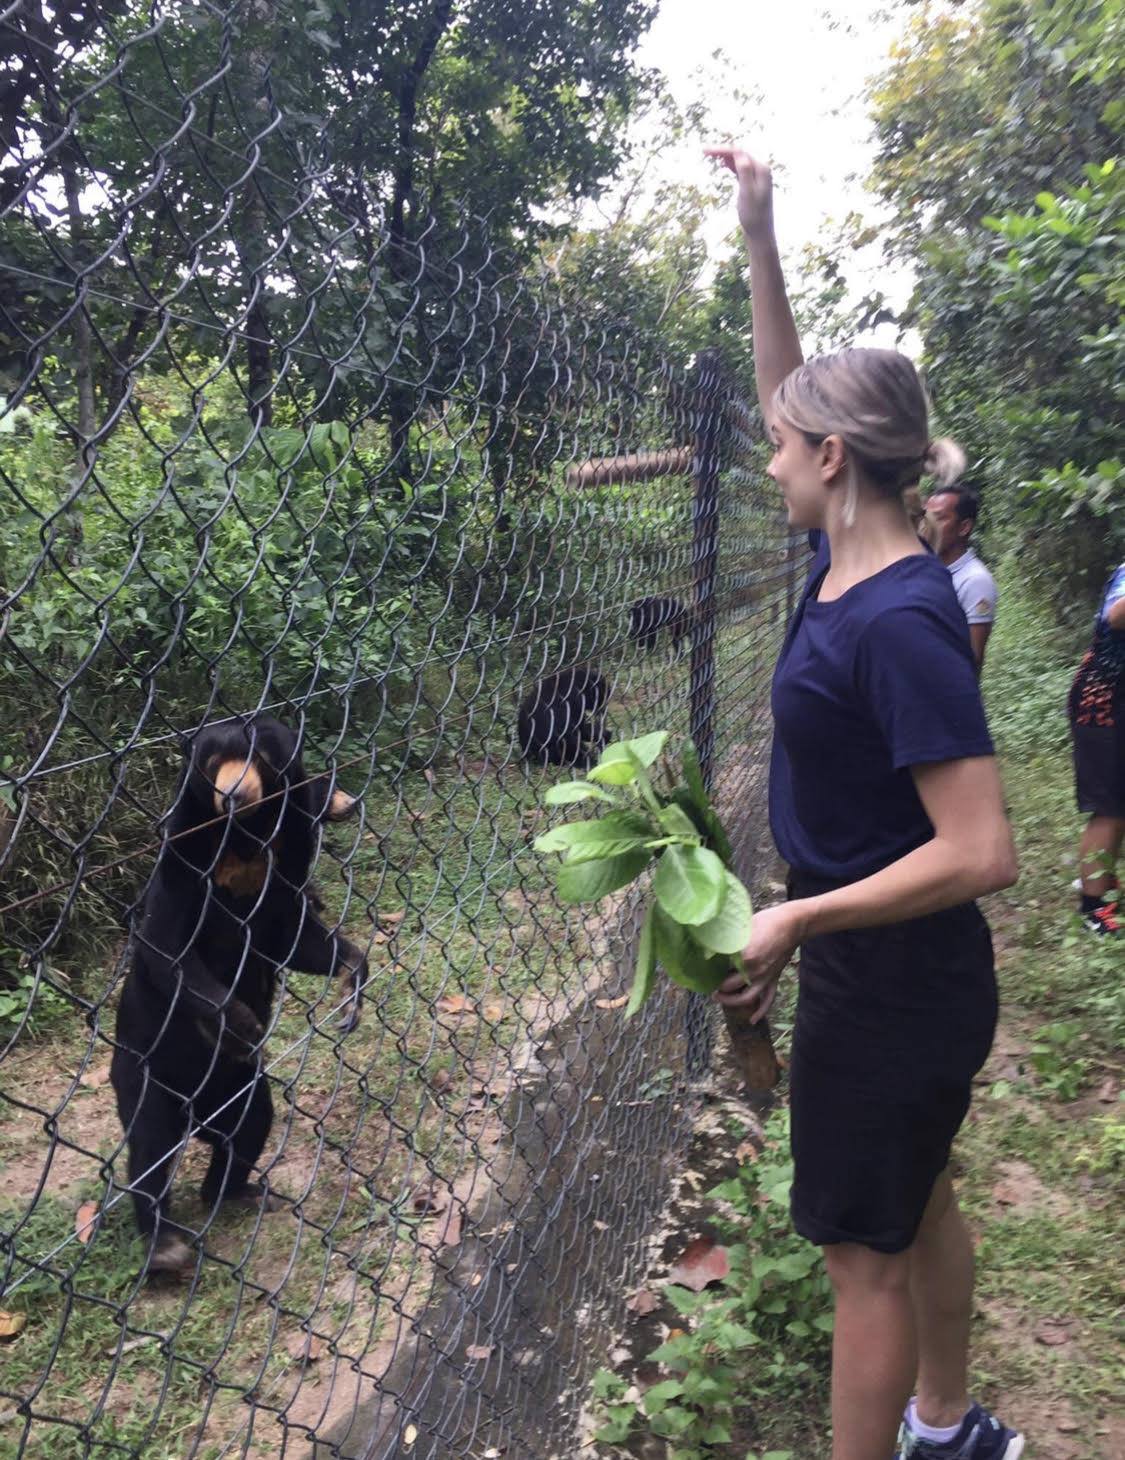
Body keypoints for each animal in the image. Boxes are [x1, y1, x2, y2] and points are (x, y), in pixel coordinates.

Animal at [110, 721, 367, 1278]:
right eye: (212, 766)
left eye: (259, 758)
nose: (230, 794)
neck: (245, 835)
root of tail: (198, 1119)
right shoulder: (183, 855)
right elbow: (165, 945)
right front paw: (237, 1022)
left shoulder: (286, 861)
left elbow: (294, 939)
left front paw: (352, 985)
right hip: (141, 1071)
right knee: (151, 1144)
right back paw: (164, 1246)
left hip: (237, 1089)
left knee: (251, 1123)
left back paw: (233, 1193)